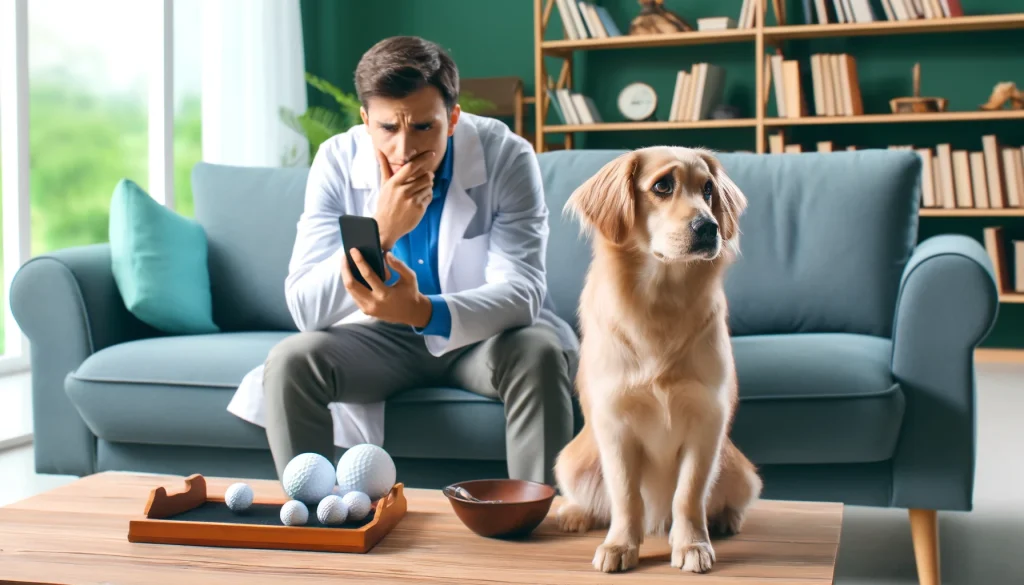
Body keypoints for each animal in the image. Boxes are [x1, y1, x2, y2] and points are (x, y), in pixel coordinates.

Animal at [557, 145, 765, 573]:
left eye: (708, 190)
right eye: (662, 186)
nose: (709, 228)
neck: (662, 302)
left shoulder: (706, 421)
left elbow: (689, 495)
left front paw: (692, 545)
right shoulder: (615, 423)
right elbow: (625, 496)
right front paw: (621, 544)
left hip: (740, 470)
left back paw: (726, 519)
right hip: (572, 460)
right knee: (595, 502)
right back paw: (574, 512)